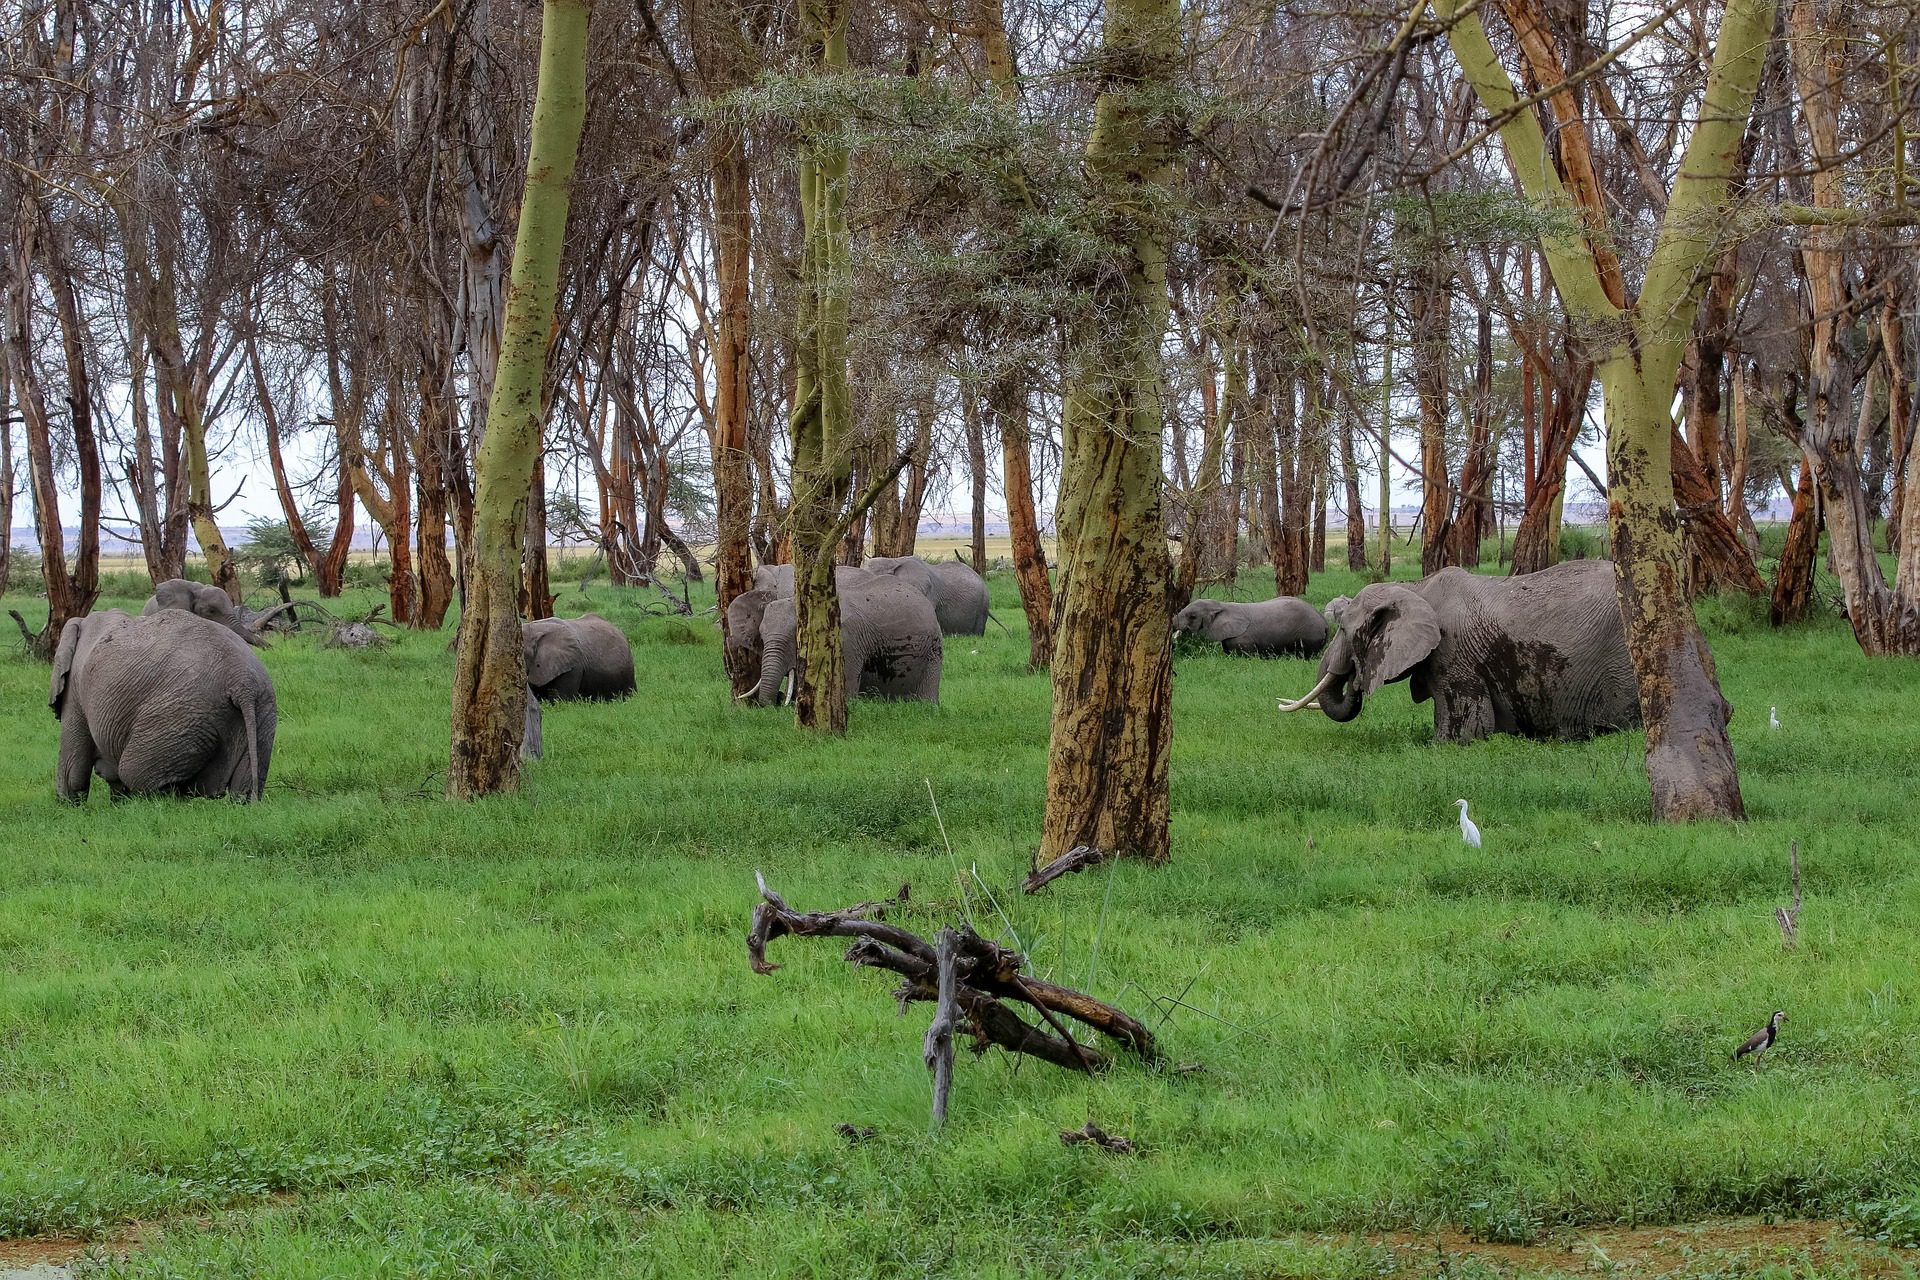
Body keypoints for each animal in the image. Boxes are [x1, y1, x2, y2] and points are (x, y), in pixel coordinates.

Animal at [51, 608, 277, 802]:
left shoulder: (75, 689)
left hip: (179, 716)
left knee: (138, 775)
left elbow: (73, 770)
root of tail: (242, 681)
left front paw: (68, 808)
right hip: (262, 710)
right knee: (244, 789)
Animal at [1277, 560, 1642, 743]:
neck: (1416, 588)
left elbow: (1465, 731)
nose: (1354, 679)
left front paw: (1443, 744)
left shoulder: (1455, 654)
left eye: (1344, 629)